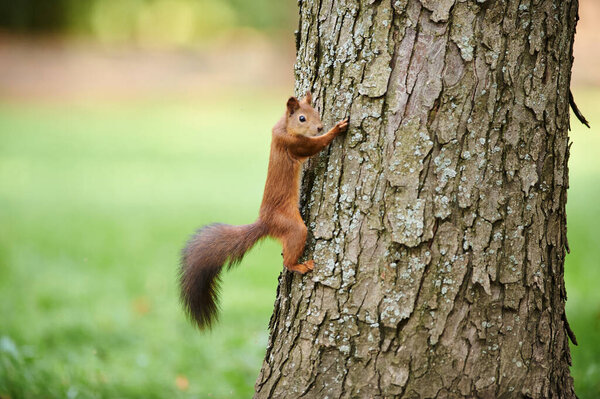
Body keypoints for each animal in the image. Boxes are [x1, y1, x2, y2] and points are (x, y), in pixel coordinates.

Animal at [178, 92, 350, 330]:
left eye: (316, 111)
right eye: (302, 118)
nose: (320, 126)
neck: (285, 127)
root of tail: (266, 222)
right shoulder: (294, 144)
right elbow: (315, 145)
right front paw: (336, 129)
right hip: (292, 226)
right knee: (289, 258)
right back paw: (300, 266)